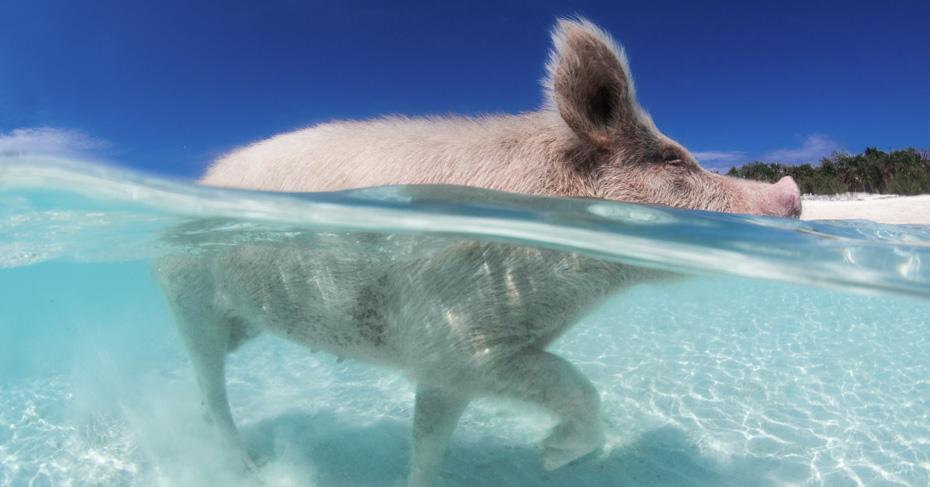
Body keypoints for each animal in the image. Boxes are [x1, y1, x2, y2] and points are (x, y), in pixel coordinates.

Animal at [157, 17, 801, 487]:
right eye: (674, 160)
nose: (791, 192)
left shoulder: (456, 368)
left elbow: (429, 438)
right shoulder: (456, 345)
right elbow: (575, 388)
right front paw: (552, 457)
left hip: (243, 319)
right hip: (188, 299)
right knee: (211, 387)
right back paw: (250, 467)